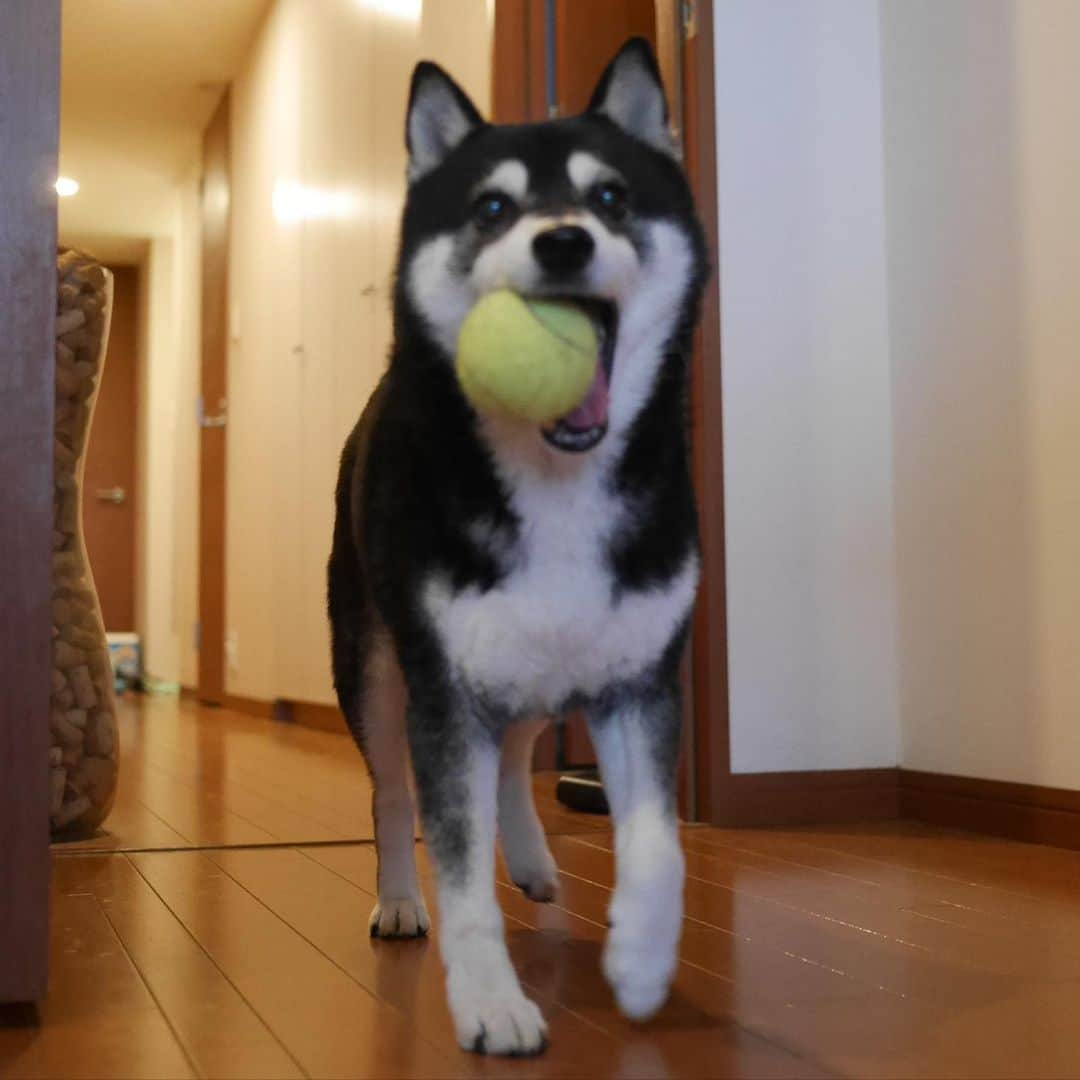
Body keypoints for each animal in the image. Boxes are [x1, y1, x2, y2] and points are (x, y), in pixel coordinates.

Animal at [326, 38, 708, 1058]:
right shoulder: (446, 688)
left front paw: (641, 960)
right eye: (492, 208)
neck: (558, 486)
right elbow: (460, 871)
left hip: (545, 666)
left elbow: (658, 842)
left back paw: (534, 860)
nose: (563, 241)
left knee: (515, 755)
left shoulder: (639, 678)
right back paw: (397, 901)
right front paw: (492, 1003)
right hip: (375, 668)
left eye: (611, 196)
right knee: (393, 796)